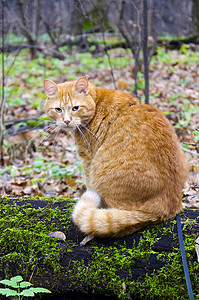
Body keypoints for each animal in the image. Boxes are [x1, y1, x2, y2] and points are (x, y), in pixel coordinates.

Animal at [44, 77, 188, 241]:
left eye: (75, 108)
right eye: (58, 110)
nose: (67, 121)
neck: (97, 102)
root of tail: (166, 207)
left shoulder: (88, 160)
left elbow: (89, 185)